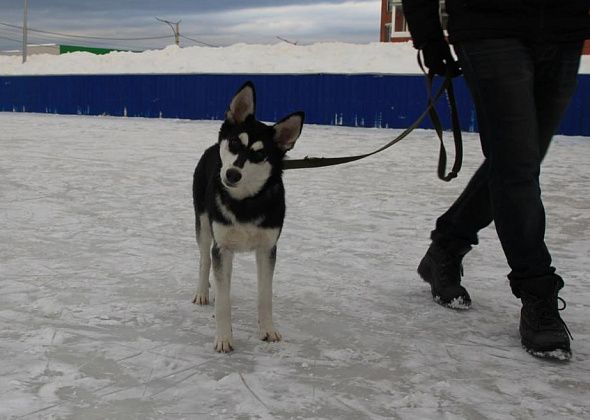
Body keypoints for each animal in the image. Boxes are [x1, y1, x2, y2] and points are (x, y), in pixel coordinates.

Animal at [193, 81, 306, 352]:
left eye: (259, 154)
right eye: (234, 143)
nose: (232, 174)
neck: (244, 203)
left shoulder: (267, 249)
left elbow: (265, 296)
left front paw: (268, 330)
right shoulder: (222, 246)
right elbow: (223, 302)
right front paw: (224, 338)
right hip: (204, 226)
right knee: (204, 260)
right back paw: (203, 292)